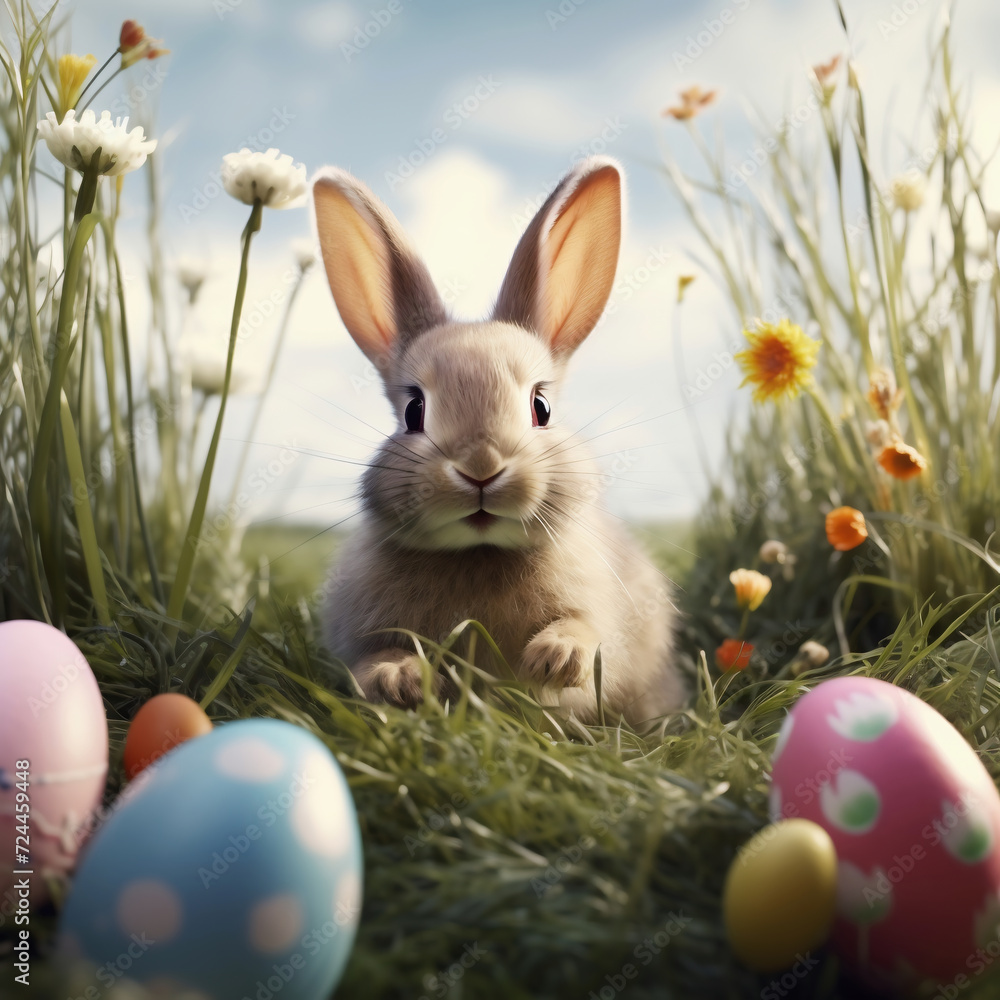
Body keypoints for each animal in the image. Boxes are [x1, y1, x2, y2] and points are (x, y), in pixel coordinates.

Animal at [311, 156, 686, 725]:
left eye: (541, 407)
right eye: (414, 411)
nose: (481, 467)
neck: (480, 552)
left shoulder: (599, 609)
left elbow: (586, 633)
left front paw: (554, 659)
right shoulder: (363, 632)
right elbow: (374, 658)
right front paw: (400, 680)